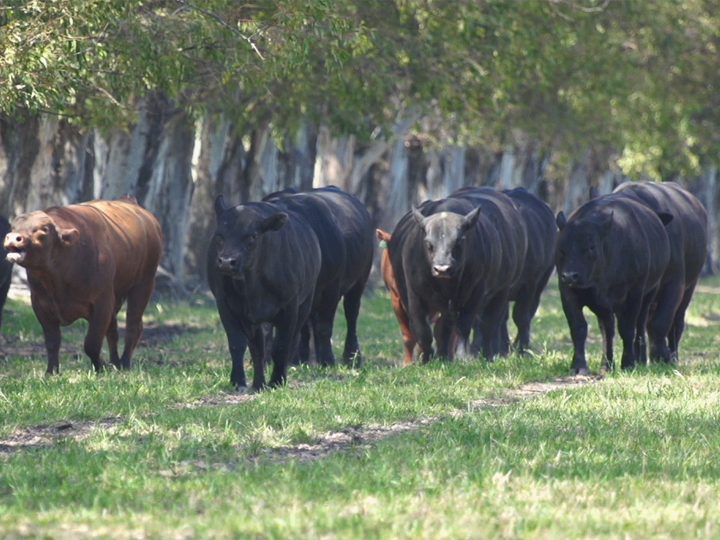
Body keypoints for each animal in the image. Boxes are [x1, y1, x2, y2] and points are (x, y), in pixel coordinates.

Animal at [3, 196, 163, 374]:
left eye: (44, 229)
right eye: (14, 227)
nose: (14, 237)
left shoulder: (102, 303)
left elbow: (92, 343)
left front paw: (100, 366)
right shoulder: (40, 305)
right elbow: (52, 342)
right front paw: (51, 371)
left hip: (143, 285)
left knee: (133, 327)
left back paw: (125, 363)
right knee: (113, 332)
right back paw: (115, 363)